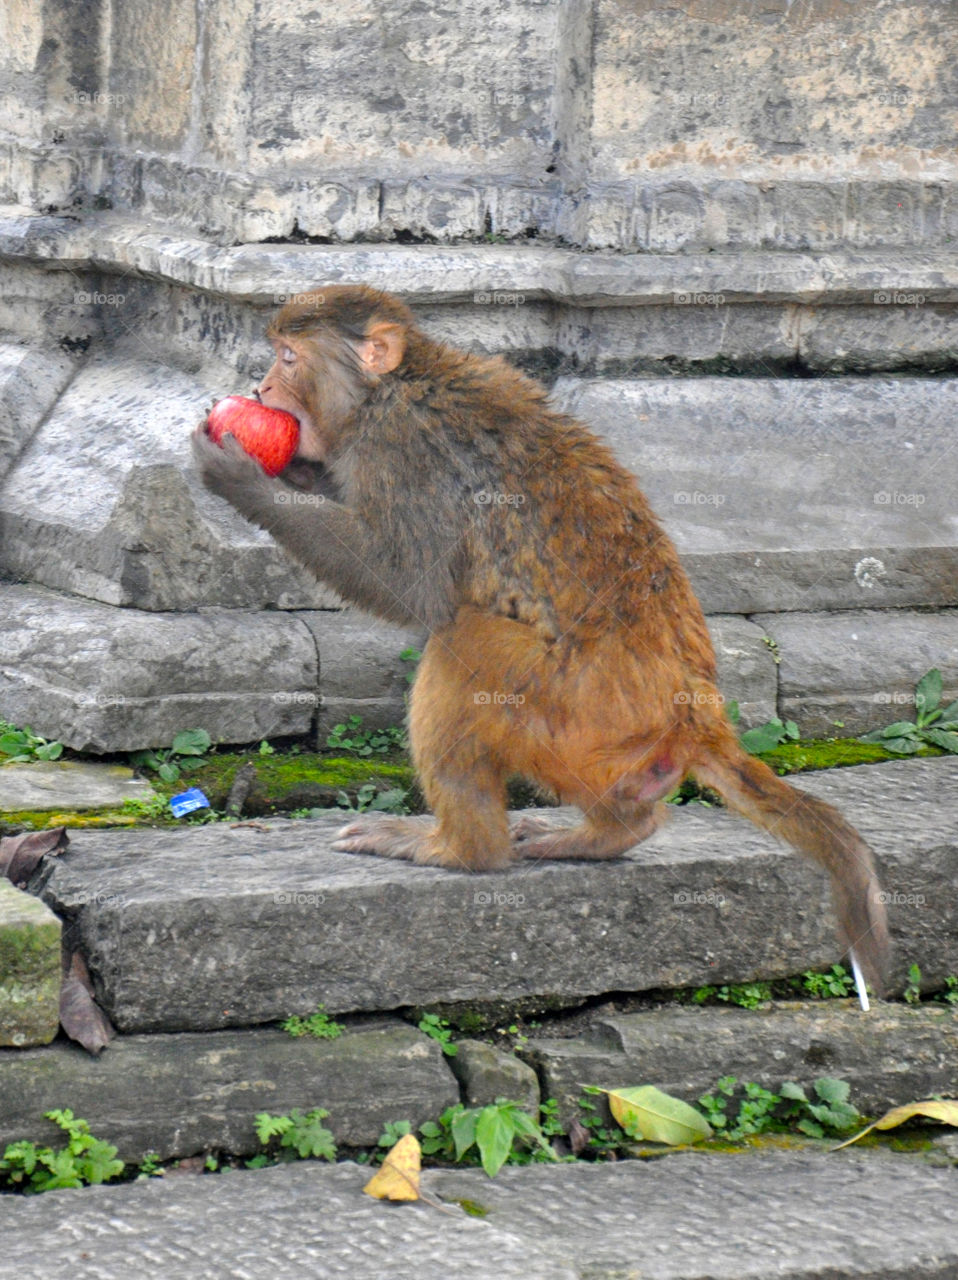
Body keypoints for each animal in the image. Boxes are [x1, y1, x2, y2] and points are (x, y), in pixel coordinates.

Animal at [190, 285, 896, 993]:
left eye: (287, 357)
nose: (259, 386)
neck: (393, 386)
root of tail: (694, 707)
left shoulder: (403, 445)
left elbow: (413, 586)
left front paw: (241, 480)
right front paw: (296, 476)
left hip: (579, 709)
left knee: (463, 639)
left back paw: (464, 851)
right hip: (608, 747)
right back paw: (613, 832)